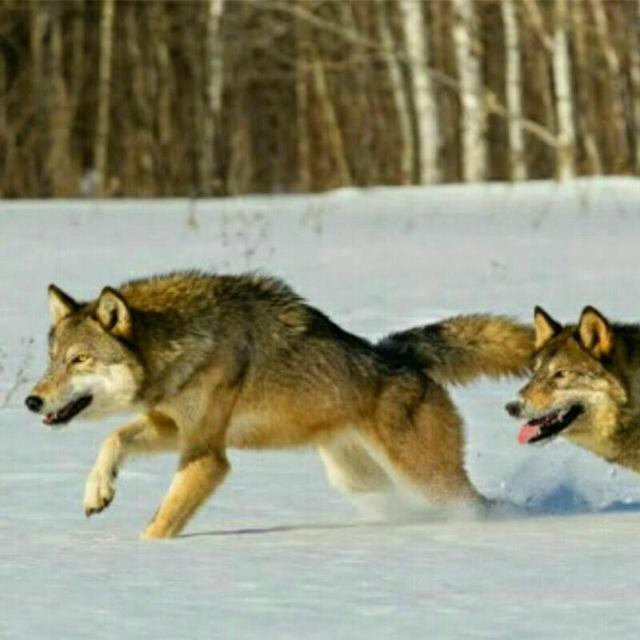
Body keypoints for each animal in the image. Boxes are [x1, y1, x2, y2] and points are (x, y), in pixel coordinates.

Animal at [26, 271, 533, 539]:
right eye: (52, 360)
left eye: (79, 360)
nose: (32, 401)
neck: (185, 344)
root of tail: (398, 355)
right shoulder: (173, 427)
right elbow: (113, 440)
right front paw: (98, 492)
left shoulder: (207, 456)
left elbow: (161, 522)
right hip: (358, 479)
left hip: (426, 477)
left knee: (477, 503)